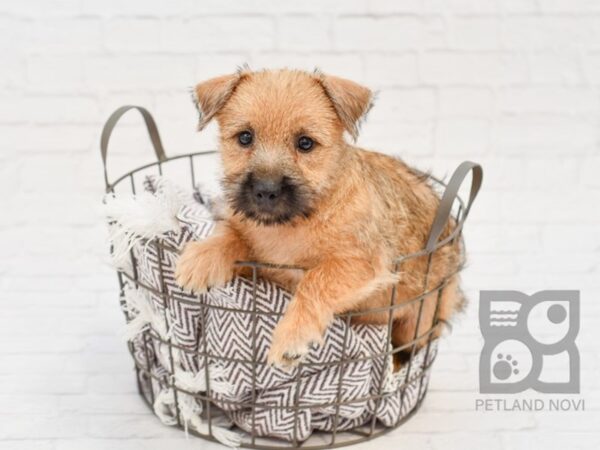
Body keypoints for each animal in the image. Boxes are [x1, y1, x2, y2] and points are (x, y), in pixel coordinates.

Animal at [173, 67, 464, 370]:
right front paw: (202, 257)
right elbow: (231, 235)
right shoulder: (256, 253)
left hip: (419, 320)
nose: (265, 191)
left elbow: (317, 279)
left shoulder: (360, 262)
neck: (294, 223)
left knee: (406, 351)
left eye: (305, 143)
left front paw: (292, 335)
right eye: (244, 138)